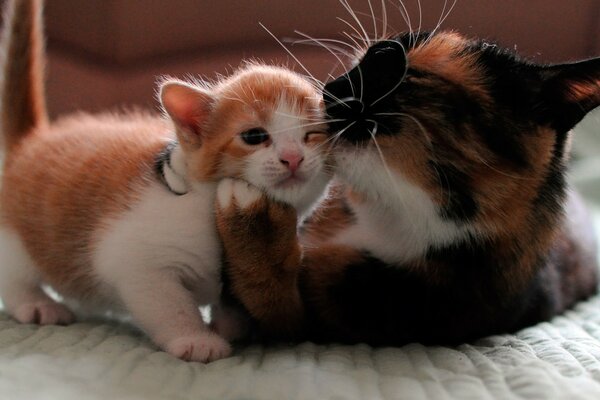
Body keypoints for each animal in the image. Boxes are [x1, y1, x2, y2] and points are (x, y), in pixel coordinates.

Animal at [0, 0, 328, 362]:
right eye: (254, 136)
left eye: (312, 135)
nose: (293, 158)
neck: (207, 207)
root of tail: (32, 140)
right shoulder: (135, 259)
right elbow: (168, 303)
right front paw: (196, 339)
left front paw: (228, 324)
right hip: (13, 234)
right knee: (12, 273)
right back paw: (35, 303)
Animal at [213, 30, 596, 344]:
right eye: (372, 56)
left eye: (403, 75)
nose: (330, 90)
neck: (391, 215)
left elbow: (274, 301)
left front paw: (253, 218)